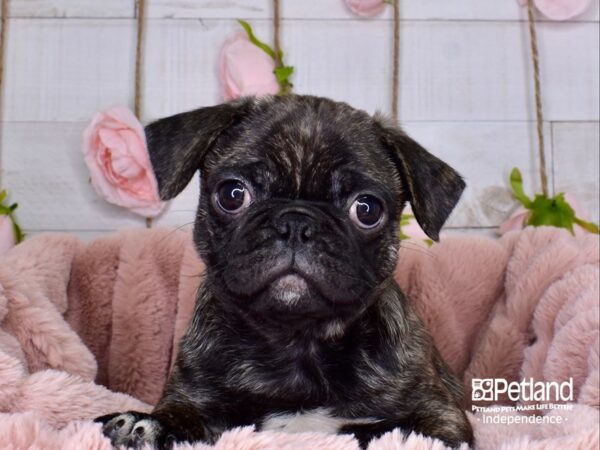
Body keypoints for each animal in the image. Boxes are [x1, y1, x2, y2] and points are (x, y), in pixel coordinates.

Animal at [97, 93, 474, 448]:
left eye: (367, 209)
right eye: (232, 194)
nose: (296, 223)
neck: (296, 341)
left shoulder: (440, 417)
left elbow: (392, 431)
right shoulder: (193, 395)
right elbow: (178, 414)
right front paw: (148, 423)